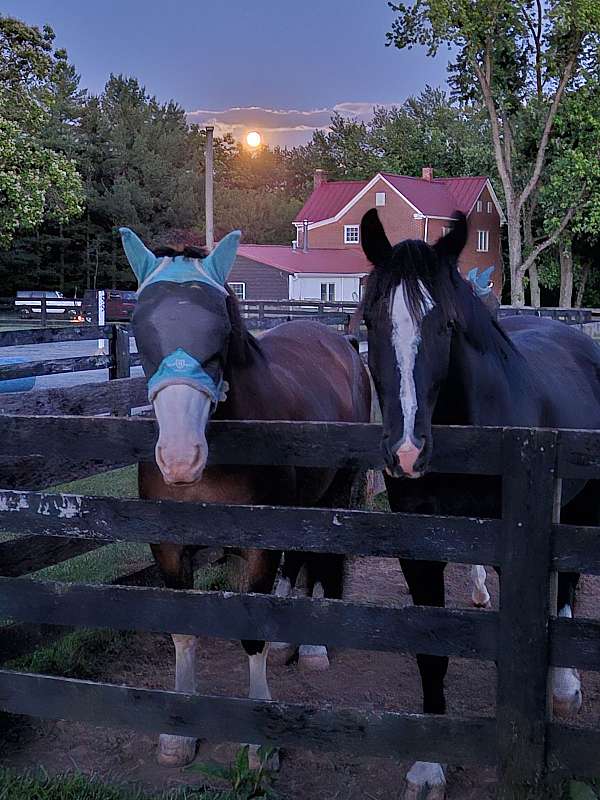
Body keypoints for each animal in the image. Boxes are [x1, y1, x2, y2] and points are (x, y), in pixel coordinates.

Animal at [119, 226, 371, 767]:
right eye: (139, 327)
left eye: (221, 333)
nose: (180, 457)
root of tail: (339, 341)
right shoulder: (169, 549)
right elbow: (183, 631)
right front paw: (178, 733)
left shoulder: (258, 545)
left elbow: (251, 635)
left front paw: (258, 742)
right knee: (296, 564)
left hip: (333, 495)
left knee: (319, 560)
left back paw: (313, 650)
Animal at [358, 208, 600, 800]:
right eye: (370, 321)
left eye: (445, 325)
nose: (406, 452)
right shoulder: (418, 546)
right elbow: (432, 649)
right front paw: (427, 767)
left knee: (567, 587)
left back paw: (565, 686)